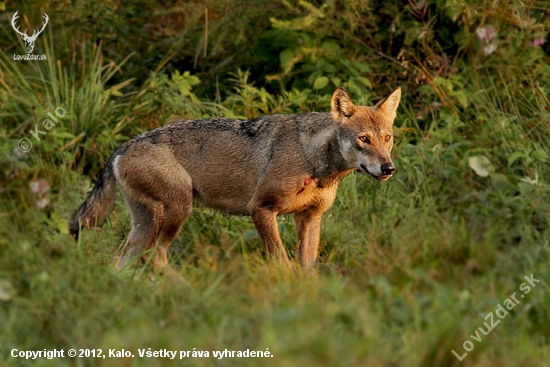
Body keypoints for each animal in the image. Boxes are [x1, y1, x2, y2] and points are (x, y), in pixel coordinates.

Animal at [71, 86, 404, 276]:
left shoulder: (310, 218)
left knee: (122, 263)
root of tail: (122, 147)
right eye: (363, 139)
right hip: (178, 211)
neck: (312, 158)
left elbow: (307, 268)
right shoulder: (261, 209)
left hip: (146, 225)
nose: (388, 168)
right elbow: (282, 262)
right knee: (155, 258)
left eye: (387, 138)